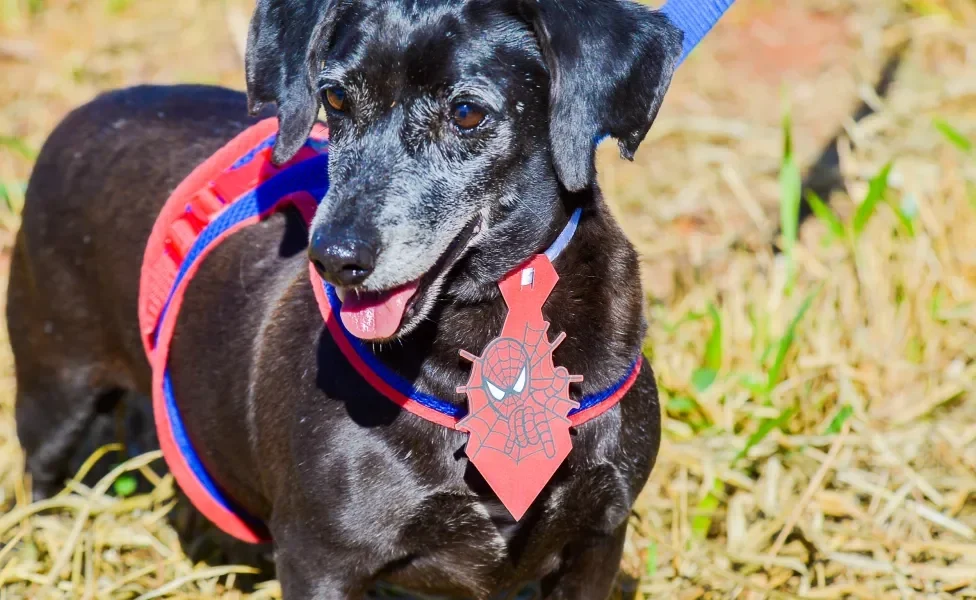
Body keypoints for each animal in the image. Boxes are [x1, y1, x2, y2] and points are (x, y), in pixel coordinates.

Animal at [5, 0, 680, 596]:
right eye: (334, 99)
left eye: (466, 113)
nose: (332, 257)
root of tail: (88, 110)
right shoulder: (319, 559)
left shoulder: (597, 540)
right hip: (54, 388)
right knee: (41, 474)